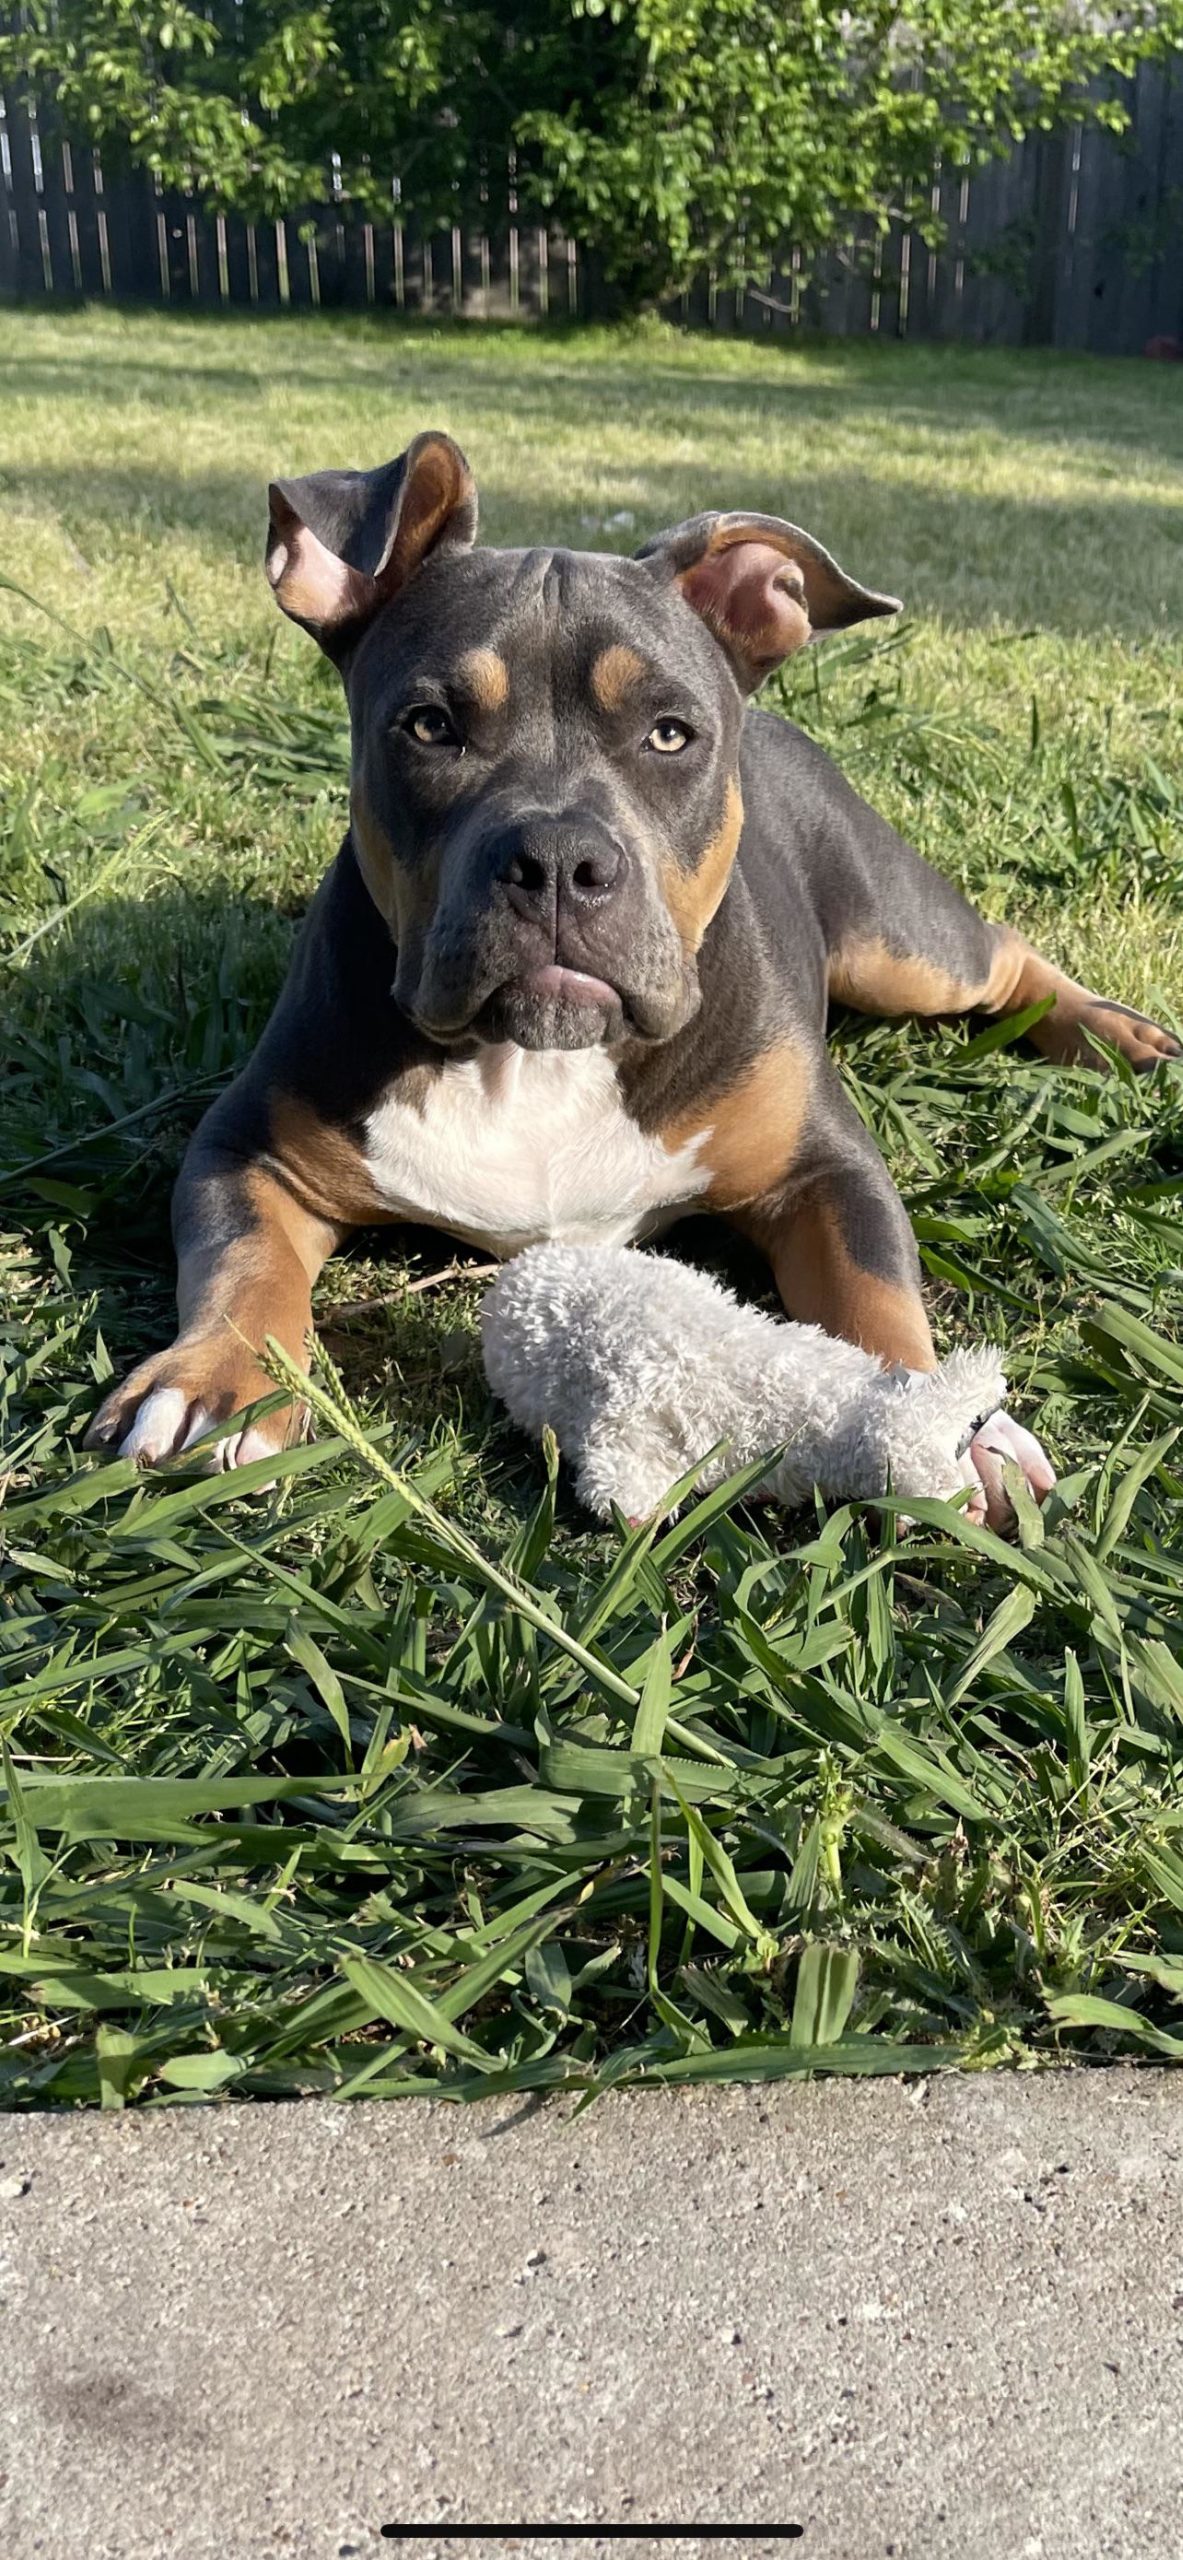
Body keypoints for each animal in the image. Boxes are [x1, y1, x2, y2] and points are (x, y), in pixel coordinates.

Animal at [85, 430, 1183, 1525]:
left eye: (668, 733)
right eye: (429, 725)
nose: (559, 858)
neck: (530, 1060)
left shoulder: (825, 1172)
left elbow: (874, 1292)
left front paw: (945, 1427)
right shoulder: (247, 1148)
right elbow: (243, 1259)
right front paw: (214, 1380)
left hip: (898, 942)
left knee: (999, 950)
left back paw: (1119, 1036)